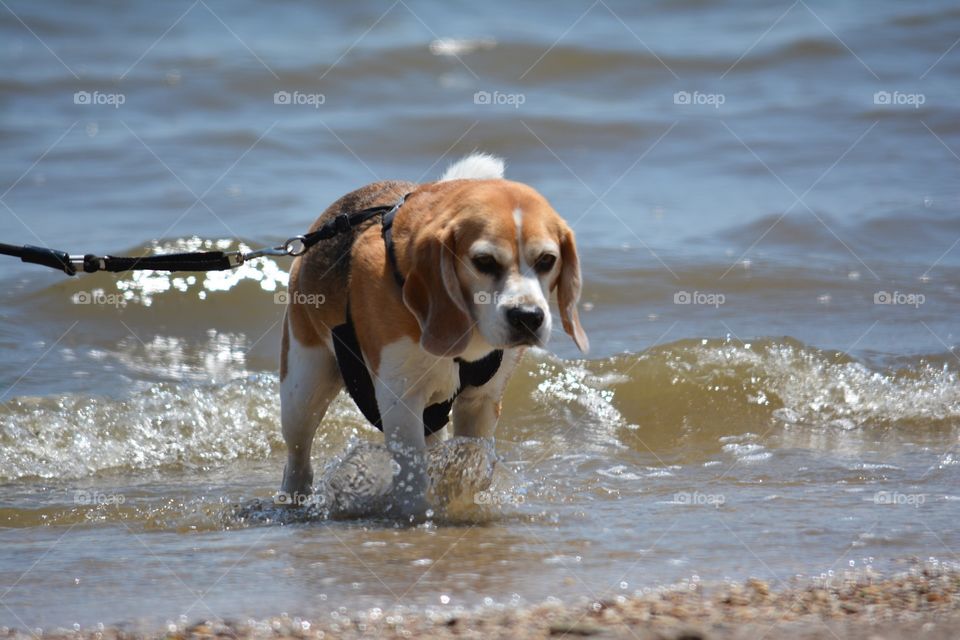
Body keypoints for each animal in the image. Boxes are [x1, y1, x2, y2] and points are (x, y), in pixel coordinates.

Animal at [280, 155, 584, 520]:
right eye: (483, 261)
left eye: (547, 260)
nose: (527, 317)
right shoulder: (400, 398)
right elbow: (412, 472)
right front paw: (417, 512)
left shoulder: (483, 401)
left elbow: (470, 460)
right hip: (302, 389)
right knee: (298, 458)